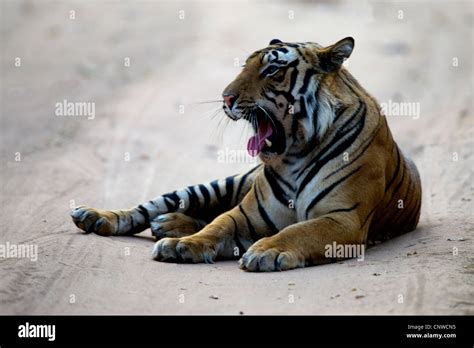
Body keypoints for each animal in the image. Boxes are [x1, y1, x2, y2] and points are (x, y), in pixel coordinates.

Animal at [71, 38, 422, 272]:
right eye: (245, 66)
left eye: (271, 69)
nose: (226, 98)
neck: (296, 154)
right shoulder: (247, 213)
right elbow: (217, 225)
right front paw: (184, 245)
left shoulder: (343, 218)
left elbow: (299, 229)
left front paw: (266, 250)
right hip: (220, 184)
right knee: (155, 206)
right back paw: (99, 217)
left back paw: (168, 225)